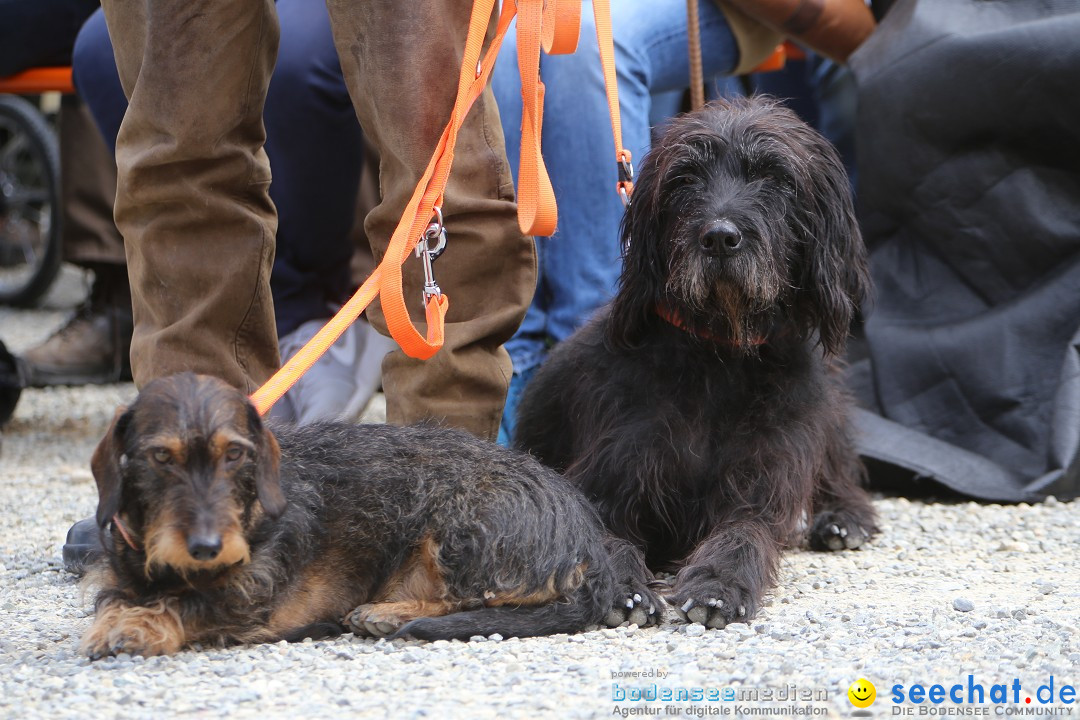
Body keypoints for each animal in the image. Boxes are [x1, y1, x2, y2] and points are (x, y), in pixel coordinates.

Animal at [79, 375, 652, 656]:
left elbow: (190, 604)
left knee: (475, 600)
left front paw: (139, 627)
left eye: (234, 454)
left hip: (460, 527)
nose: (205, 548)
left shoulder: (252, 598)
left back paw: (388, 613)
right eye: (161, 457)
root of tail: (587, 537)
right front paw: (122, 617)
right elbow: (117, 598)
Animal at [511, 97, 876, 630]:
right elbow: (605, 538)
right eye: (685, 178)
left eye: (776, 177)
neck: (719, 356)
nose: (720, 237)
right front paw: (624, 587)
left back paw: (844, 518)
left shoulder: (760, 486)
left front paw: (719, 586)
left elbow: (742, 536)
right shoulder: (608, 479)